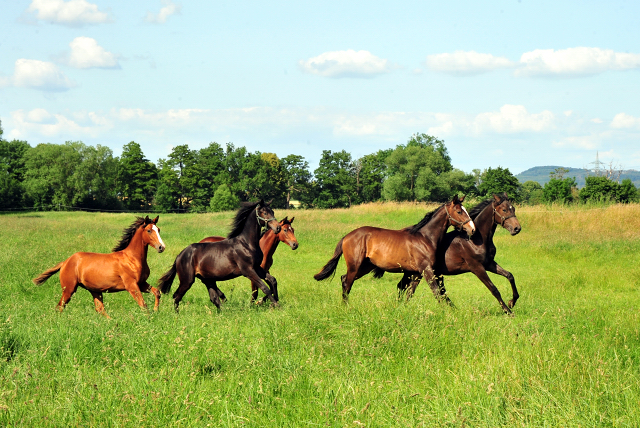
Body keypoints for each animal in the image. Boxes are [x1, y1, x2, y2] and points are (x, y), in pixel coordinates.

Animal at [31, 217, 165, 318]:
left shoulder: (141, 283)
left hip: (95, 290)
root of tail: (65, 262)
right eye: (149, 230)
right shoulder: (131, 285)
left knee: (99, 309)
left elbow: (157, 292)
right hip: (69, 289)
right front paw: (149, 319)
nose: (161, 247)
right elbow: (143, 304)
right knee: (60, 306)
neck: (132, 259)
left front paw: (156, 311)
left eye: (158, 229)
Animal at [316, 196, 476, 302]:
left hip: (365, 266)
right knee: (347, 283)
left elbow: (410, 293)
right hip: (355, 265)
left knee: (344, 279)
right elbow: (436, 292)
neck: (425, 238)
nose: (472, 229)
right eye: (459, 212)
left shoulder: (416, 273)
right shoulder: (427, 270)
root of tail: (347, 236)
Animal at [380, 194, 520, 314]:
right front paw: (508, 311)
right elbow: (494, 289)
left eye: (513, 208)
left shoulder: (489, 264)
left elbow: (510, 276)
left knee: (407, 288)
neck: (476, 239)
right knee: (404, 287)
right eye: (504, 209)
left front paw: (512, 302)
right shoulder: (477, 267)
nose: (517, 228)